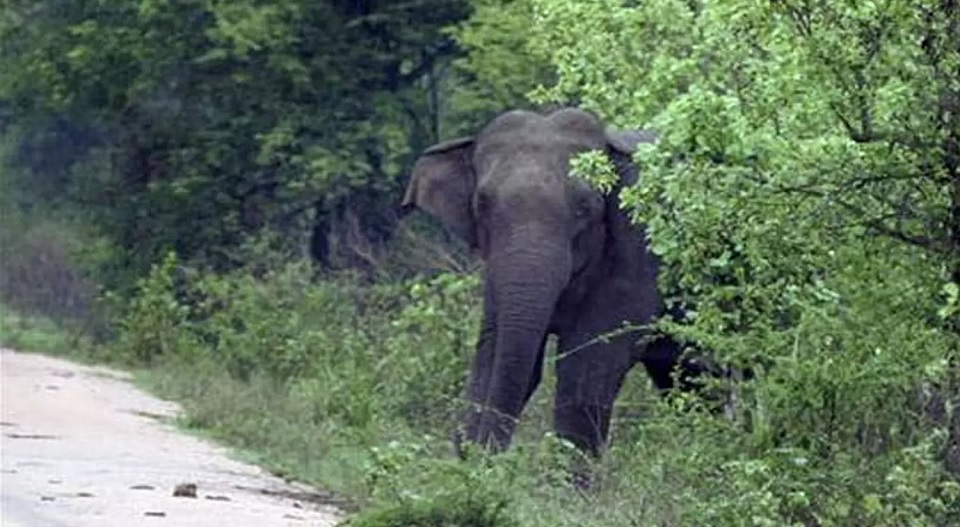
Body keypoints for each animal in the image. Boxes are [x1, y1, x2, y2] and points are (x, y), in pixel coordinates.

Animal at [398, 107, 712, 466]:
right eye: (482, 203)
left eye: (585, 206)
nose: (482, 455)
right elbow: (494, 350)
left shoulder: (642, 250)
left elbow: (587, 367)